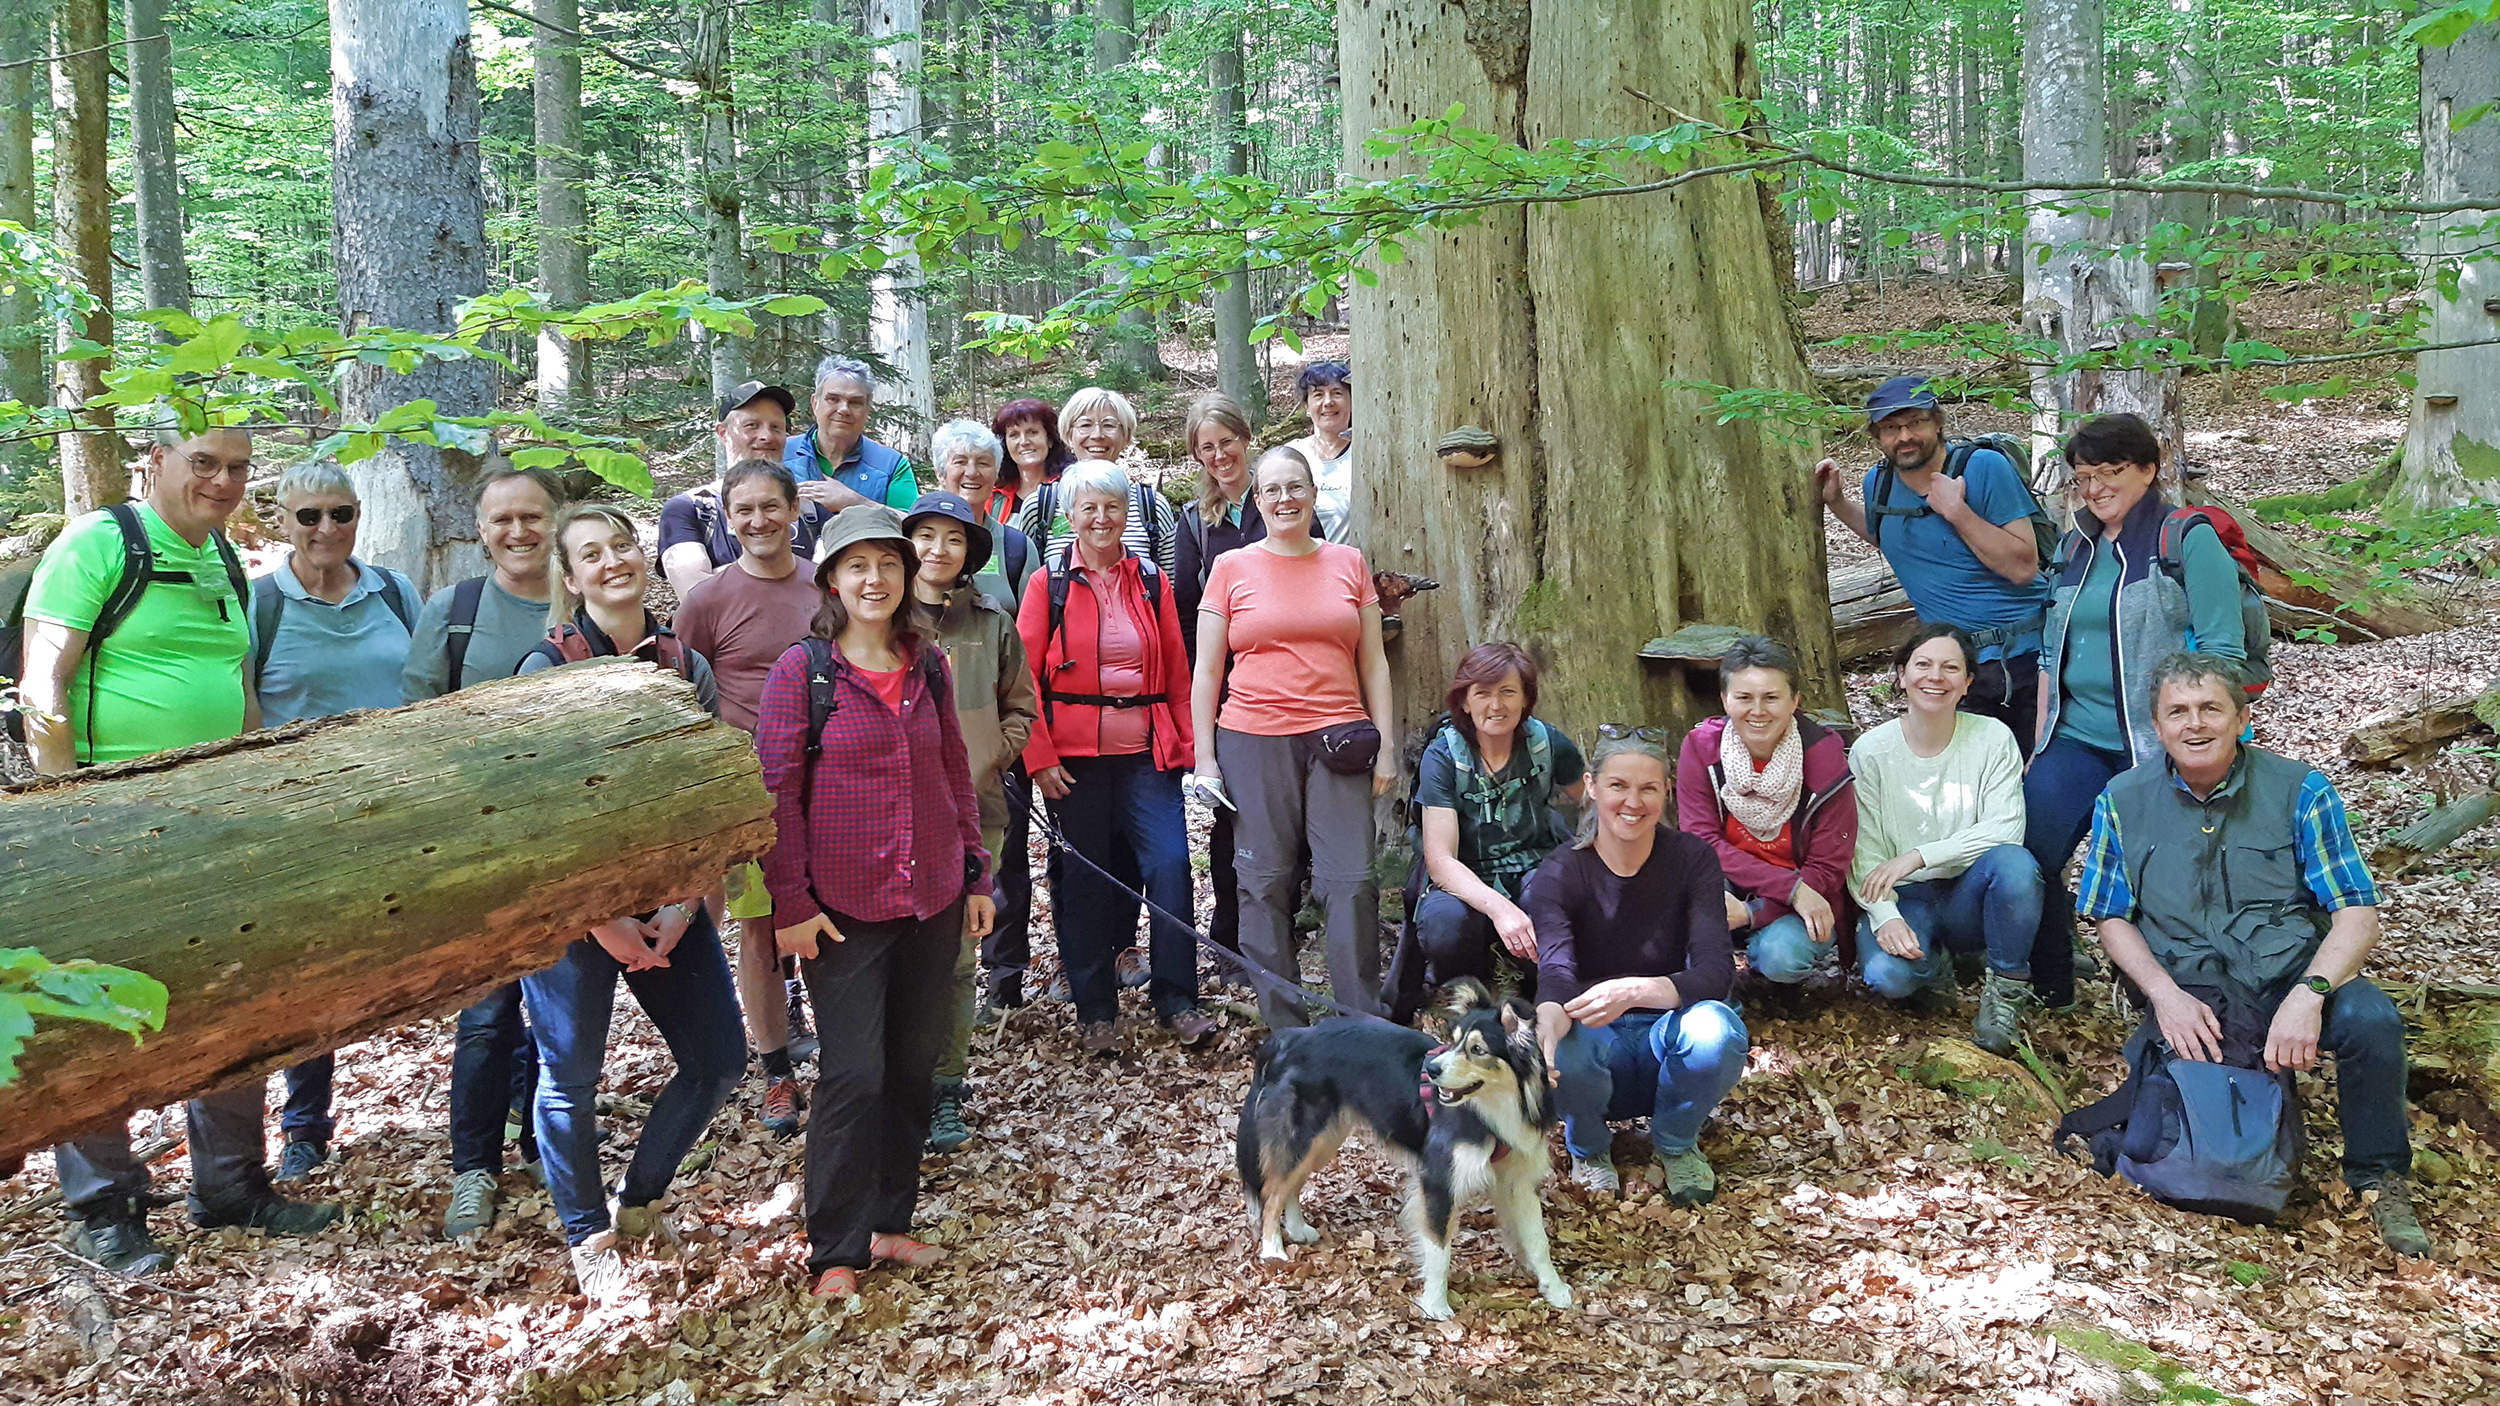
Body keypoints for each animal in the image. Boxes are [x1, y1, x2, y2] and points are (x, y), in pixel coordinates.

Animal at [1240, 975, 1570, 1310]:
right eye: (1454, 1041)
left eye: (1477, 1049)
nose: (1432, 1070)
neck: (1493, 1108)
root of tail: (1291, 1037)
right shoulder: (1439, 1177)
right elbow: (1439, 1246)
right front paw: (1436, 1305)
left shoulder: (1520, 1179)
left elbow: (1538, 1240)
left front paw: (1554, 1288)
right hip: (1306, 1135)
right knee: (1271, 1193)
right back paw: (1272, 1250)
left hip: (1323, 1139)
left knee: (1289, 1185)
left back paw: (1296, 1228)